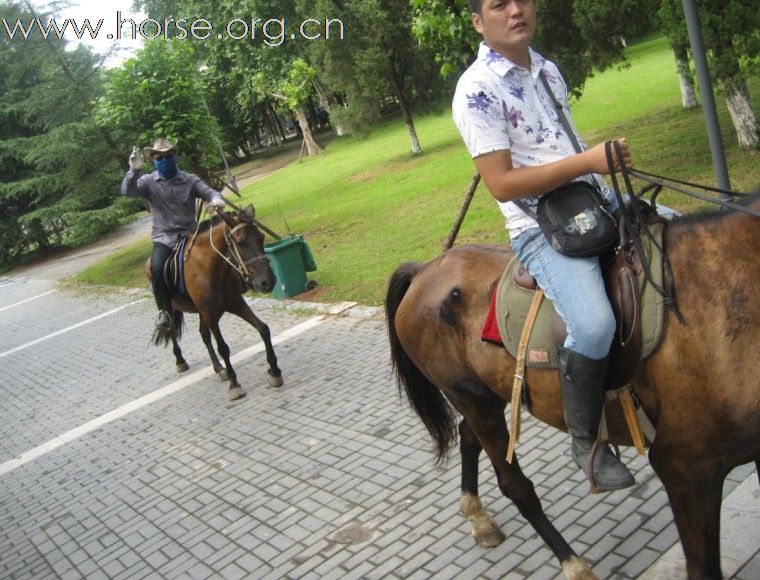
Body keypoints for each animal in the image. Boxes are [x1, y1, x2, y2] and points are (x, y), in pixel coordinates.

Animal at [148, 206, 282, 402]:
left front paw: (274, 371)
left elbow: (263, 329)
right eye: (240, 242)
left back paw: (219, 368)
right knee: (171, 330)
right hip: (172, 309)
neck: (210, 267)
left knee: (204, 335)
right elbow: (223, 348)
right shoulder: (209, 313)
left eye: (261, 237)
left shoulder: (235, 304)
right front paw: (235, 385)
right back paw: (180, 361)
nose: (268, 281)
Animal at [386, 196, 760, 580]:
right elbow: (703, 567)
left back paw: (479, 518)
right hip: (472, 398)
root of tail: (425, 270)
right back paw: (574, 565)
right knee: (514, 484)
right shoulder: (687, 468)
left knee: (468, 437)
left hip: (485, 396)